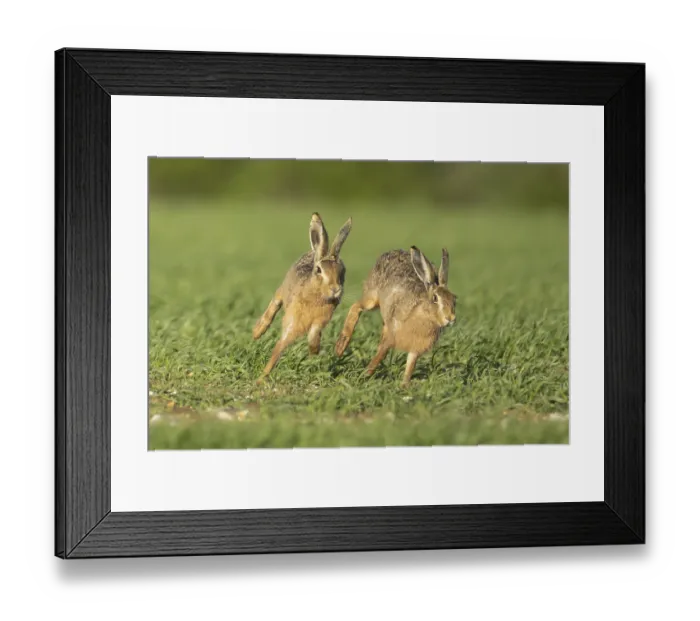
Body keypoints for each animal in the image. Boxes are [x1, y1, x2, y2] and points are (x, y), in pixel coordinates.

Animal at [253, 212, 352, 383]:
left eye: (343, 271)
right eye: (319, 270)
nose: (335, 289)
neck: (316, 296)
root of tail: (313, 252)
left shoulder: (320, 320)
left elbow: (313, 335)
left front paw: (314, 355)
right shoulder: (292, 320)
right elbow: (279, 347)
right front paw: (262, 378)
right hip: (283, 290)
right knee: (275, 303)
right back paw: (257, 331)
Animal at [335, 246, 456, 387]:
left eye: (454, 299)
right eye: (435, 299)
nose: (450, 318)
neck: (425, 315)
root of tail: (391, 252)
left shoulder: (415, 349)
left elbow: (410, 366)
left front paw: (405, 385)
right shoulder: (392, 336)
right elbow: (381, 354)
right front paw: (363, 376)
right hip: (372, 297)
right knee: (356, 306)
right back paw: (341, 346)